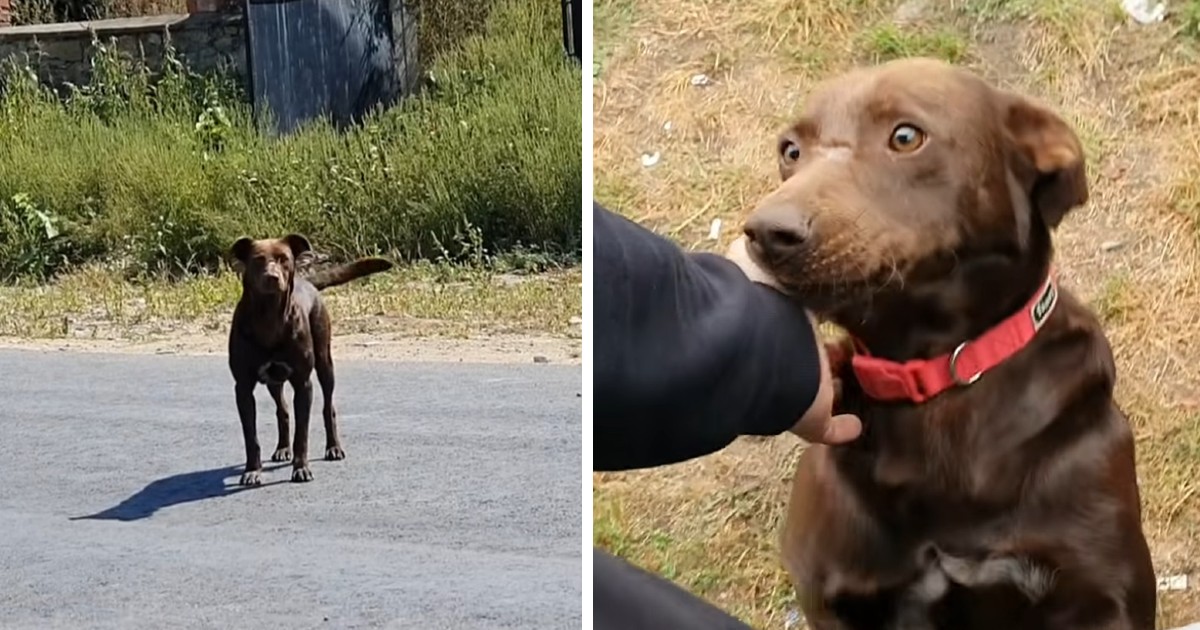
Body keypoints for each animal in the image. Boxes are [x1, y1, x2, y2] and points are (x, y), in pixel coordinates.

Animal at [226, 232, 391, 484]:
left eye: (284, 259)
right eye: (257, 260)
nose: (272, 277)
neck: (269, 317)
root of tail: (308, 282)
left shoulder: (304, 384)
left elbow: (301, 434)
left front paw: (301, 468)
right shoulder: (243, 388)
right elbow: (251, 437)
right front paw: (252, 471)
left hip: (325, 363)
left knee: (328, 408)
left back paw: (333, 447)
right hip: (274, 380)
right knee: (282, 410)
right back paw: (282, 448)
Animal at [744, 58, 1156, 628]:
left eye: (905, 136)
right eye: (790, 151)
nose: (765, 233)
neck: (935, 371)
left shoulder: (1105, 594)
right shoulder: (834, 598)